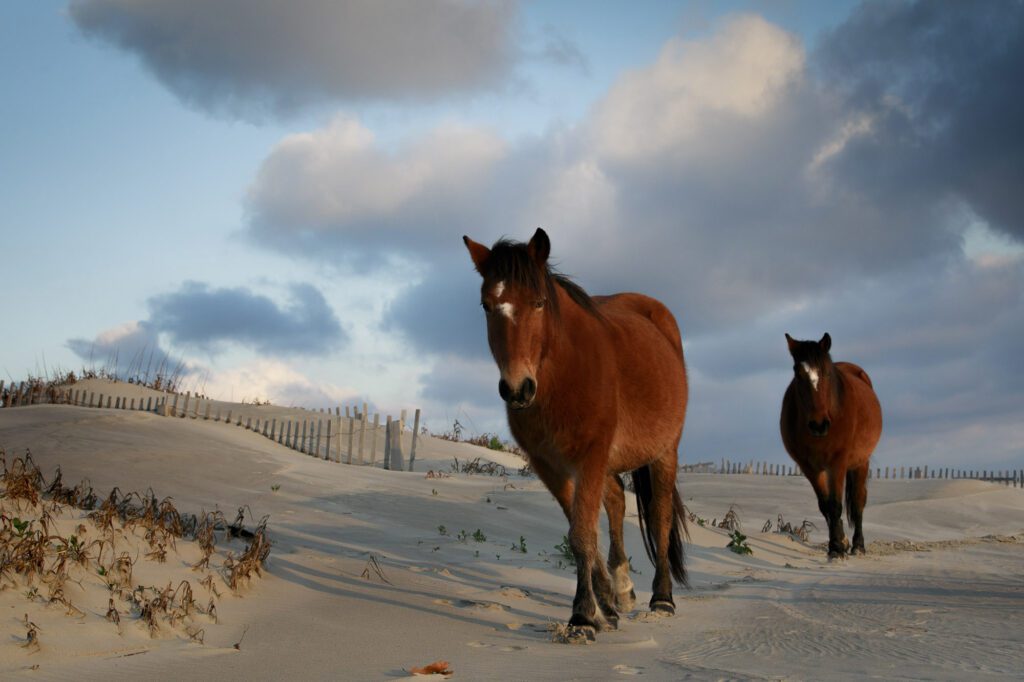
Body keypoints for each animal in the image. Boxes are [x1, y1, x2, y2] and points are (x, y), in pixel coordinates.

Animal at [468, 228, 692, 638]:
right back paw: (622, 589)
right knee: (617, 501)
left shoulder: (590, 456)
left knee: (660, 516)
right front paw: (604, 605)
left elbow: (582, 533)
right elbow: (580, 530)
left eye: (539, 302)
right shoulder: (550, 465)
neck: (564, 373)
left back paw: (662, 598)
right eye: (486, 306)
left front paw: (583, 616)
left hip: (664, 452)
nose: (517, 389)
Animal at [782, 329, 880, 557]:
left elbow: (836, 505)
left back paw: (858, 545)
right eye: (797, 373)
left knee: (859, 501)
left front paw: (837, 548)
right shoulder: (810, 468)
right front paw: (838, 543)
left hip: (861, 462)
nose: (819, 424)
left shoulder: (838, 463)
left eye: (826, 372)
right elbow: (825, 505)